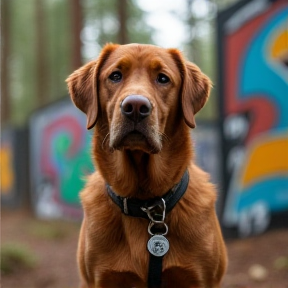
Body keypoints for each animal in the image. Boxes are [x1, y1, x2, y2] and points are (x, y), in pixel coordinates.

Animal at [66, 43, 226, 288]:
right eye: (115, 76)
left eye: (163, 78)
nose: (135, 106)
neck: (145, 203)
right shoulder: (101, 279)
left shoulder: (200, 279)